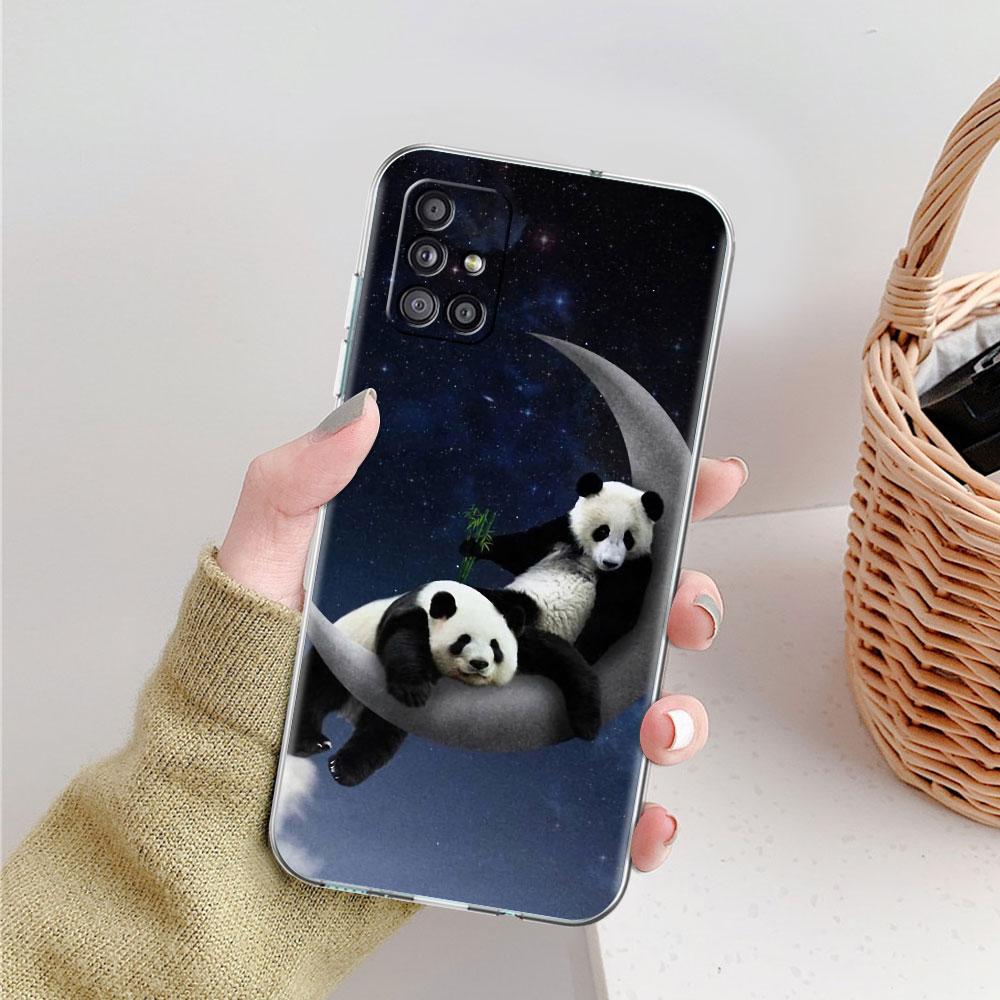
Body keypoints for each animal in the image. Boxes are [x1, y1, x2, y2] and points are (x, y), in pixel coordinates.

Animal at [290, 580, 600, 786]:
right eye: (462, 641)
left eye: (495, 647)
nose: (479, 664)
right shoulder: (410, 614)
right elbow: (405, 640)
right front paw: (415, 689)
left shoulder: (518, 635)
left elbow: (564, 659)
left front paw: (587, 725)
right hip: (338, 653)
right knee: (315, 690)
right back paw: (312, 743)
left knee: (380, 732)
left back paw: (344, 769)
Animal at [462, 472, 664, 666]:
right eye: (602, 531)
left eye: (628, 538)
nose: (610, 562)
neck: (590, 557)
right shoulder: (564, 531)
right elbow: (521, 549)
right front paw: (473, 545)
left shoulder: (635, 567)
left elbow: (614, 616)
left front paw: (582, 653)